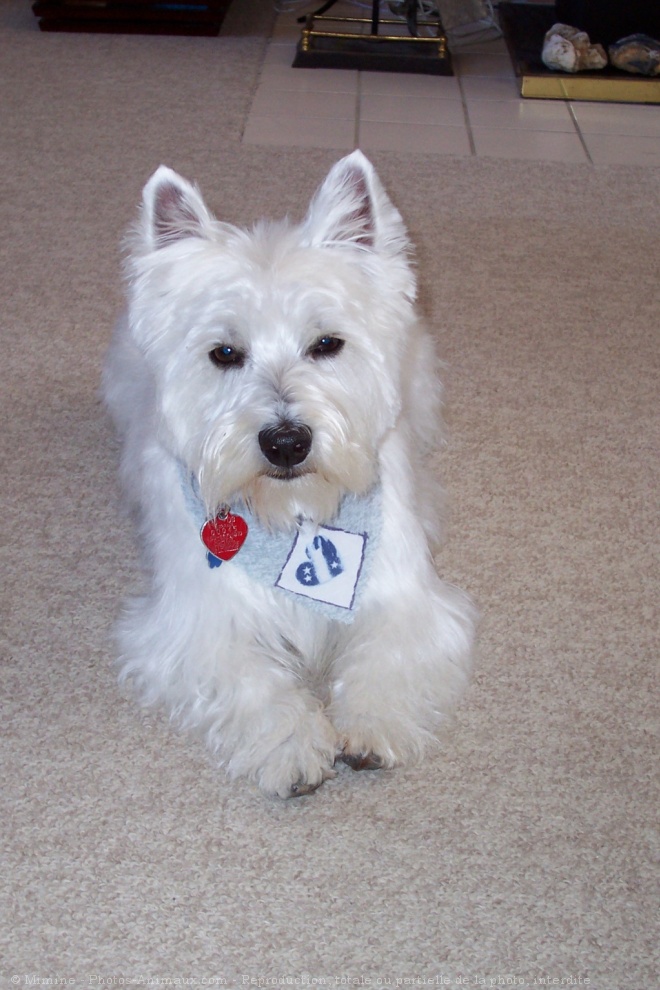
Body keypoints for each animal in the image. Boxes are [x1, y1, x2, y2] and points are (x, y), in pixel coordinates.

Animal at [103, 153, 474, 800]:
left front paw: (370, 725)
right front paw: (293, 747)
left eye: (327, 343)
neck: (296, 513)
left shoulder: (406, 598)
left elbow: (385, 653)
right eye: (224, 353)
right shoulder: (195, 625)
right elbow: (253, 680)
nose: (285, 442)